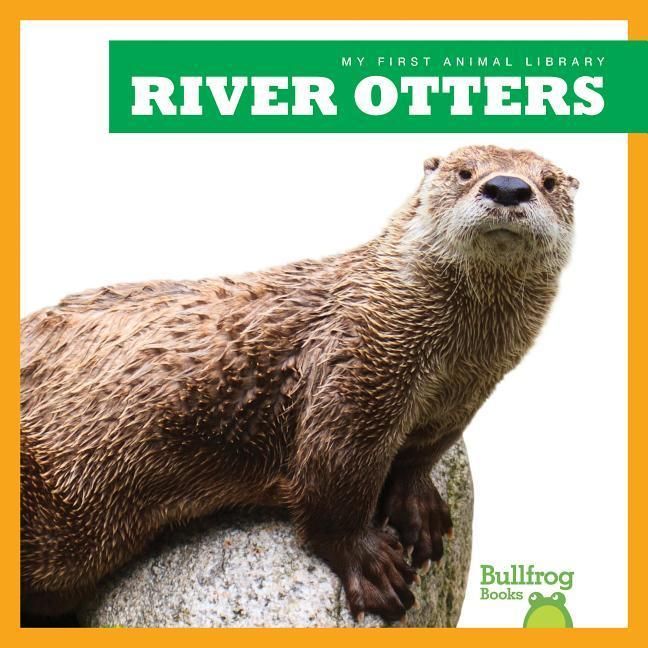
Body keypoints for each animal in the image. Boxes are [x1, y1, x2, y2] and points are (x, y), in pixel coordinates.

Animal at [21, 145, 578, 623]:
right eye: (464, 172)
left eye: (549, 182)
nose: (508, 187)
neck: (447, 360)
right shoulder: (354, 370)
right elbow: (332, 483)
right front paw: (371, 565)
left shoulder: (459, 399)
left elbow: (421, 455)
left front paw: (419, 510)